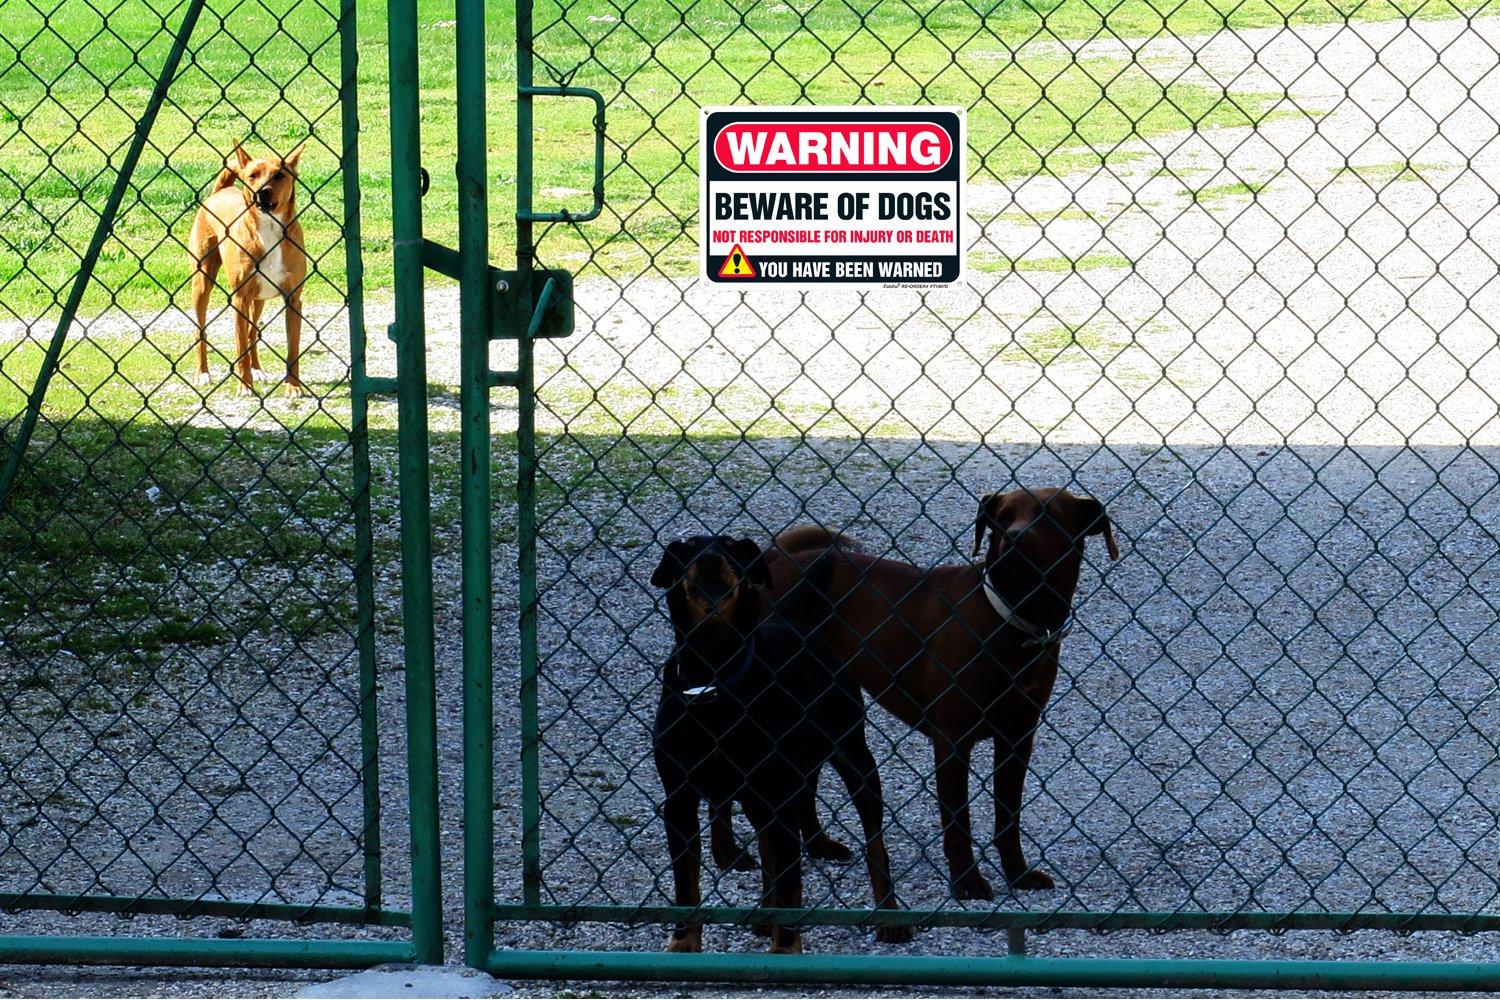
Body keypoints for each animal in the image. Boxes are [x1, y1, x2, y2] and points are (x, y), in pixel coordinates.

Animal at [189, 141, 309, 398]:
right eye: (253, 176)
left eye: (279, 175)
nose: (262, 191)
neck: (270, 228)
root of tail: (221, 192)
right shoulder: (239, 299)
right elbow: (240, 346)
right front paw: (244, 385)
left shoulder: (293, 300)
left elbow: (292, 349)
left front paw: (293, 386)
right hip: (202, 283)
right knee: (200, 331)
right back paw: (202, 373)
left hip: (259, 299)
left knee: (254, 332)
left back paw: (257, 369)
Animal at [651, 536, 906, 953]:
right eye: (687, 550)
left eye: (732, 550)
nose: (710, 559)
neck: (713, 673)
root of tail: (797, 622)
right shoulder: (679, 799)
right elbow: (686, 885)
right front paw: (683, 944)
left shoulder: (777, 793)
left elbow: (790, 881)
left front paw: (785, 948)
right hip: (760, 793)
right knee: (770, 847)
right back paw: (763, 916)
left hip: (852, 754)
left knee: (875, 843)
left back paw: (890, 916)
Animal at [768, 488, 1122, 905]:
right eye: (1002, 517)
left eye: (1050, 515)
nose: (1015, 537)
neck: (1012, 616)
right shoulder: (953, 740)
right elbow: (958, 822)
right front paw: (967, 881)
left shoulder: (1017, 738)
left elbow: (1008, 815)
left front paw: (1017, 874)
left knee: (806, 779)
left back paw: (818, 845)